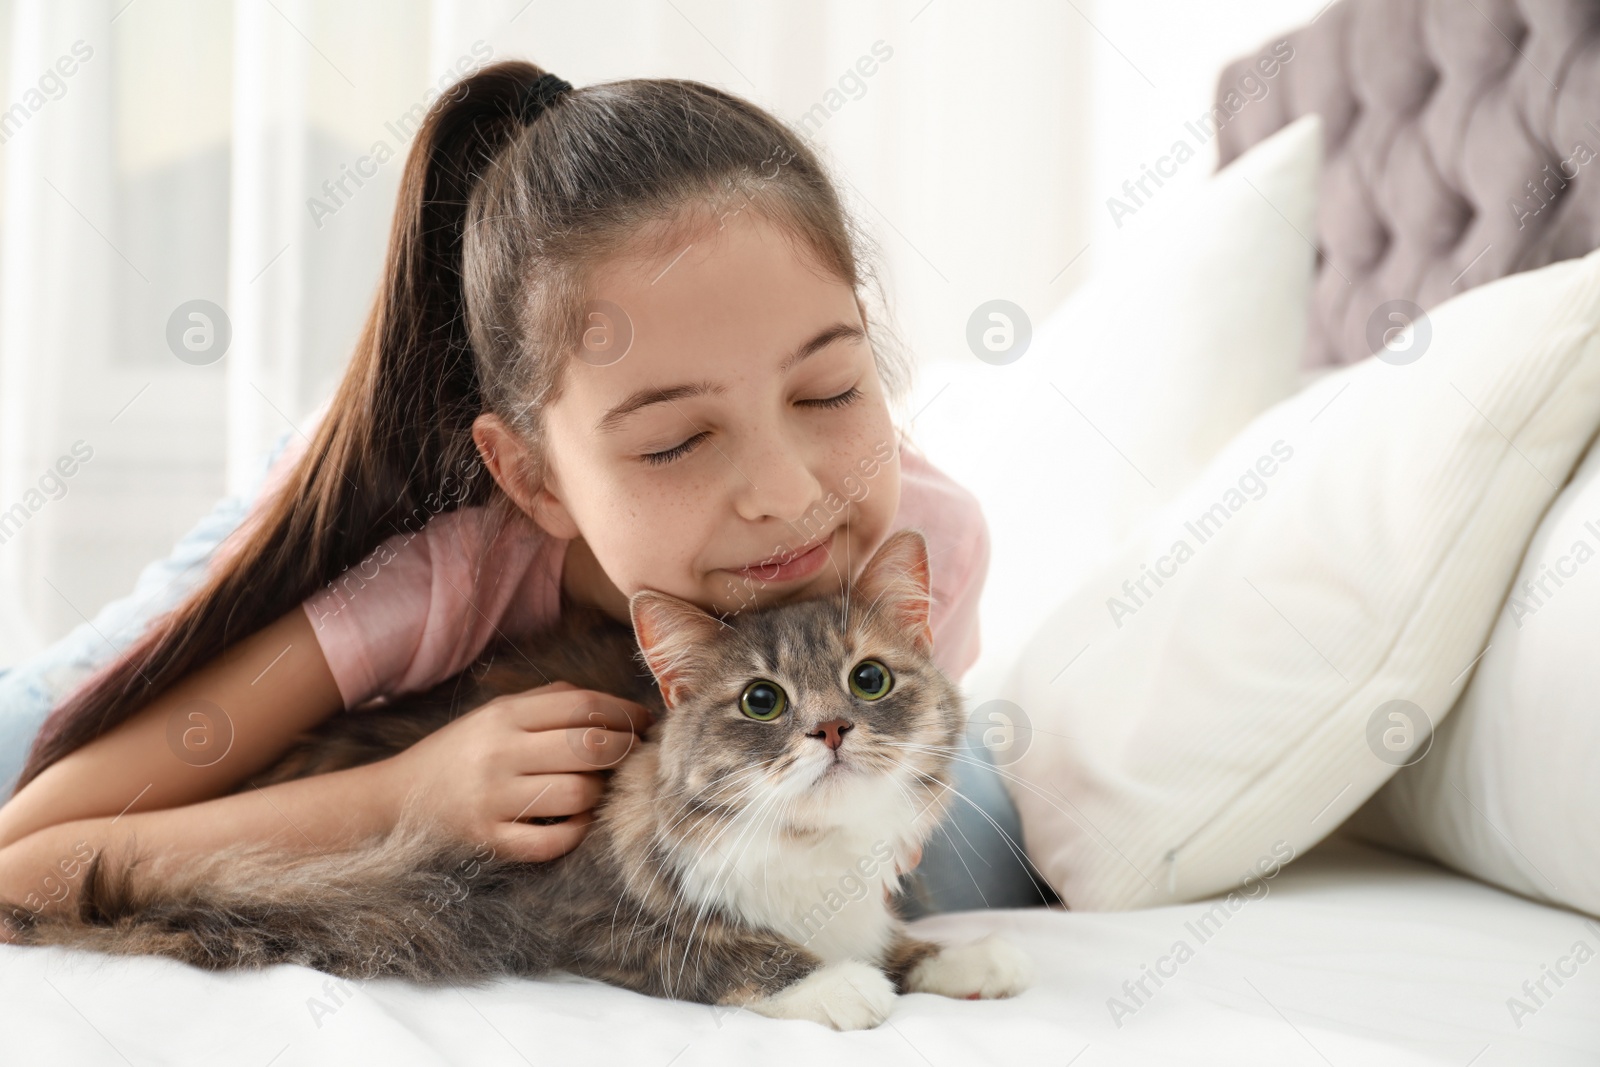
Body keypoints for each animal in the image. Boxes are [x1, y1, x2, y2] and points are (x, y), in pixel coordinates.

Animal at [6, 531, 1030, 1030]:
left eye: (870, 679)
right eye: (762, 700)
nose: (830, 727)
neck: (814, 856)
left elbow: (894, 939)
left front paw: (966, 961)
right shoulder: (570, 916)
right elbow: (731, 949)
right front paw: (840, 987)